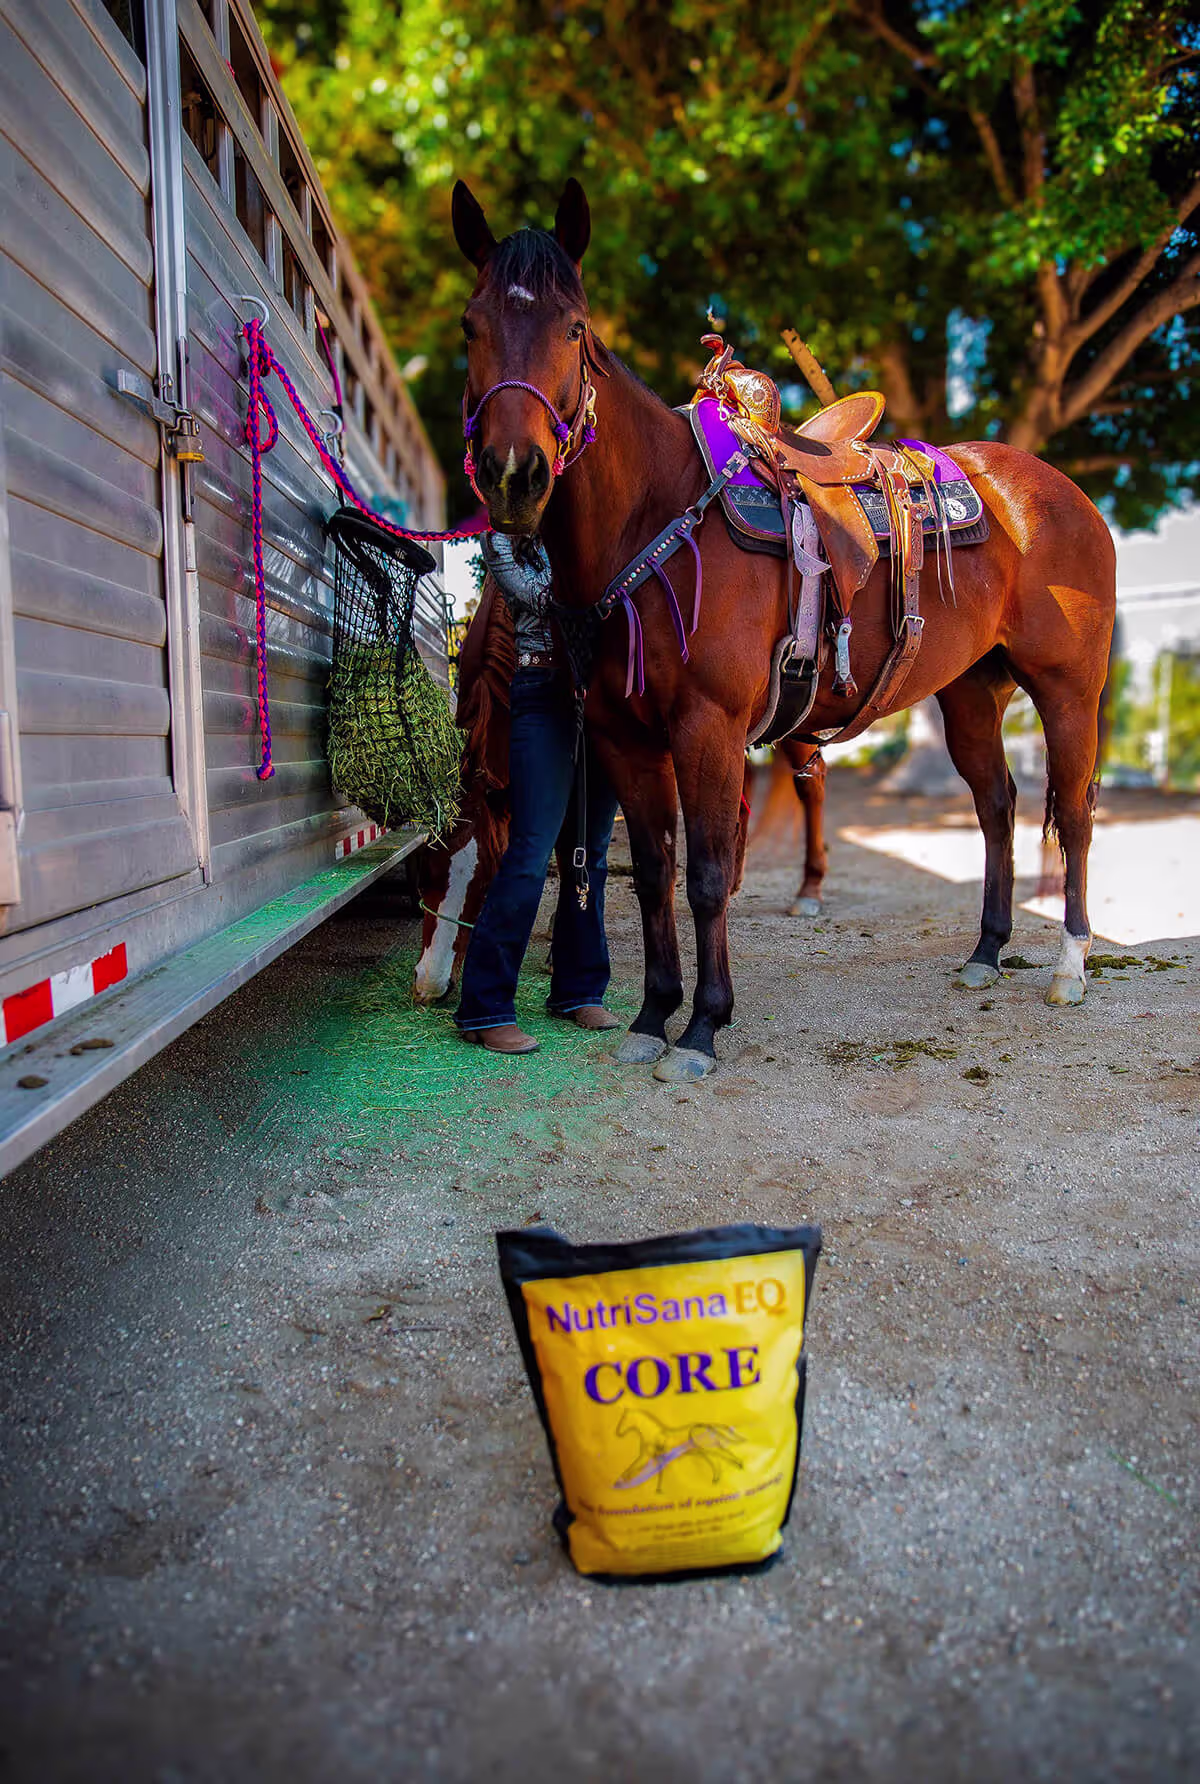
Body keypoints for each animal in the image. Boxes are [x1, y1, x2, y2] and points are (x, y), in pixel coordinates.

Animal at [450, 177, 1115, 1081]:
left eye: (575, 328)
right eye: (470, 325)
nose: (514, 474)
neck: (659, 513)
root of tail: (1061, 490)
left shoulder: (708, 727)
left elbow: (704, 874)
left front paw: (701, 1028)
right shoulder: (625, 735)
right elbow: (652, 872)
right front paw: (651, 1016)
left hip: (1068, 689)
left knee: (1073, 812)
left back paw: (1070, 965)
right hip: (972, 693)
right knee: (996, 806)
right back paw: (986, 951)